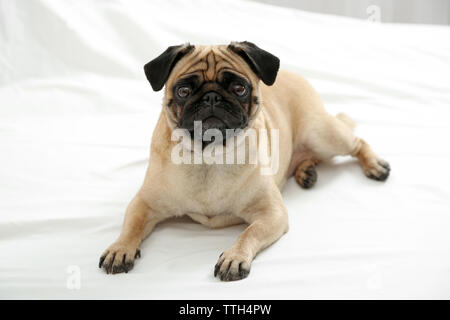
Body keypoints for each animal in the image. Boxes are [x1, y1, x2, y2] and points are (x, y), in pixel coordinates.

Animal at [98, 42, 390, 280]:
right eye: (183, 90)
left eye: (239, 88)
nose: (212, 97)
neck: (209, 157)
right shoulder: (145, 203)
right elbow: (131, 225)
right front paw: (120, 248)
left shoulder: (271, 213)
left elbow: (249, 232)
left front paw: (234, 257)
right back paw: (306, 171)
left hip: (322, 133)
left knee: (356, 142)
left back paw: (374, 165)